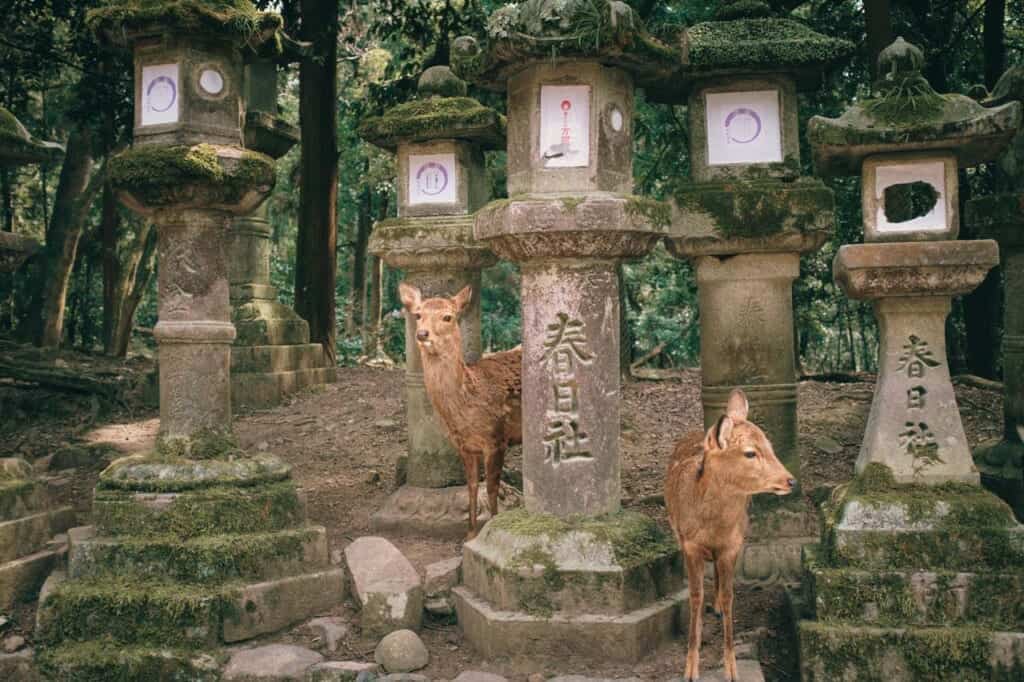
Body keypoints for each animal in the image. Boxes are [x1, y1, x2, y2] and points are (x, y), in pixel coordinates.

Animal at [399, 282, 522, 540]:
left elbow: (492, 488)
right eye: (418, 315)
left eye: (448, 317)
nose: (422, 334)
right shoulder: (464, 446)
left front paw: (490, 529)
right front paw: (470, 533)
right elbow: (472, 486)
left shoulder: (497, 438)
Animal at [665, 388, 796, 682]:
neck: (712, 526)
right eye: (750, 453)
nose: (790, 480)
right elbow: (695, 596)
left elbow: (729, 596)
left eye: (770, 445)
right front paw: (690, 670)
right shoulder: (689, 544)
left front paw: (732, 669)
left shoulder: (733, 545)